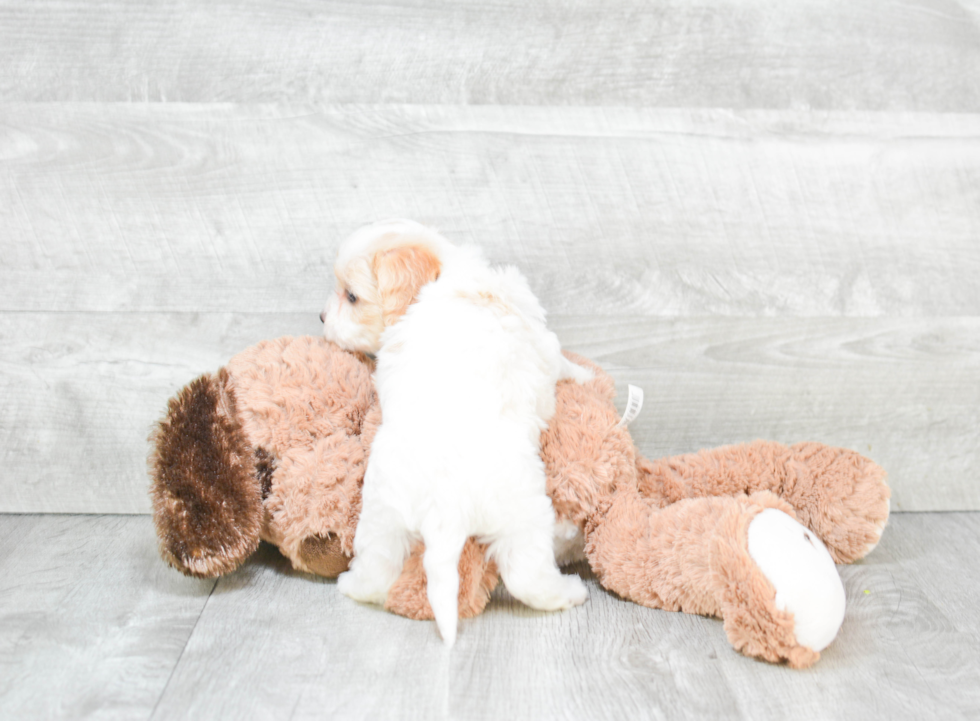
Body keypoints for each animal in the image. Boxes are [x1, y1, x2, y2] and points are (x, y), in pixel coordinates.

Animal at [326, 221, 592, 648]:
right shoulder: (541, 341)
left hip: (382, 516)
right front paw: (587, 376)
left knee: (377, 569)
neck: (450, 274)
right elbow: (561, 361)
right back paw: (568, 592)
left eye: (350, 296)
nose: (320, 316)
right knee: (527, 576)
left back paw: (352, 585)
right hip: (523, 512)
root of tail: (442, 505)